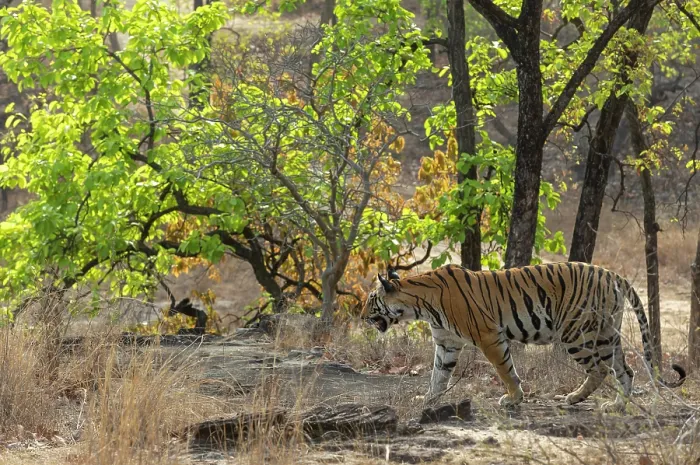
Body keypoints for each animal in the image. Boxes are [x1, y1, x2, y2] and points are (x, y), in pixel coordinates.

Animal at [362, 262, 686, 412]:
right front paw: (427, 399)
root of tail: (612, 273)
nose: (361, 316)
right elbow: (438, 375)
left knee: (601, 369)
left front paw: (513, 398)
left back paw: (574, 397)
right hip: (607, 335)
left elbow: (506, 370)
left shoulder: (489, 336)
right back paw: (616, 406)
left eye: (370, 301)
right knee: (625, 370)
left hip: (577, 333)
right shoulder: (446, 344)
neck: (420, 306)